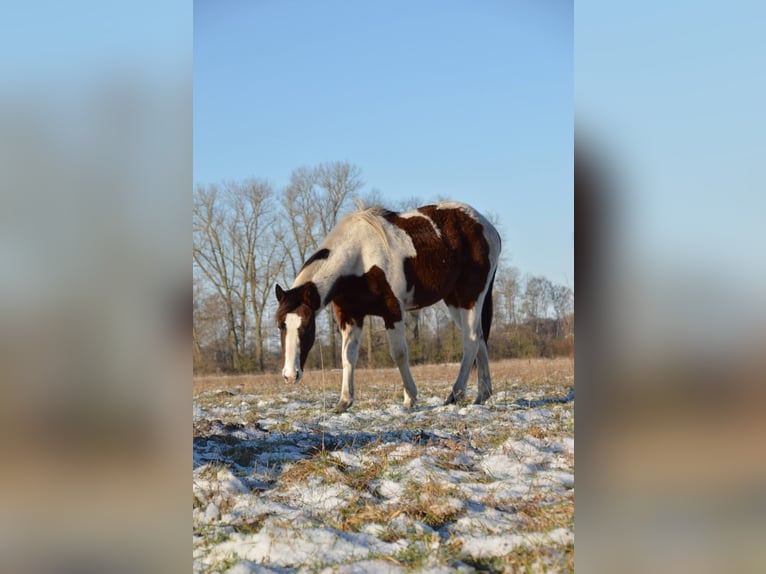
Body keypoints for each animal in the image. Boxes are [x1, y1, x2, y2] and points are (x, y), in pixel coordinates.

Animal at [275, 201, 501, 413]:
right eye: (280, 325)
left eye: (307, 326)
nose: (290, 375)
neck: (359, 256)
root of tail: (487, 227)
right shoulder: (350, 316)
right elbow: (347, 356)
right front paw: (344, 402)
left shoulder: (393, 312)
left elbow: (399, 353)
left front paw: (410, 399)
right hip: (454, 300)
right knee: (479, 337)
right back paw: (482, 395)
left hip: (470, 297)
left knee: (471, 340)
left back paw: (455, 395)